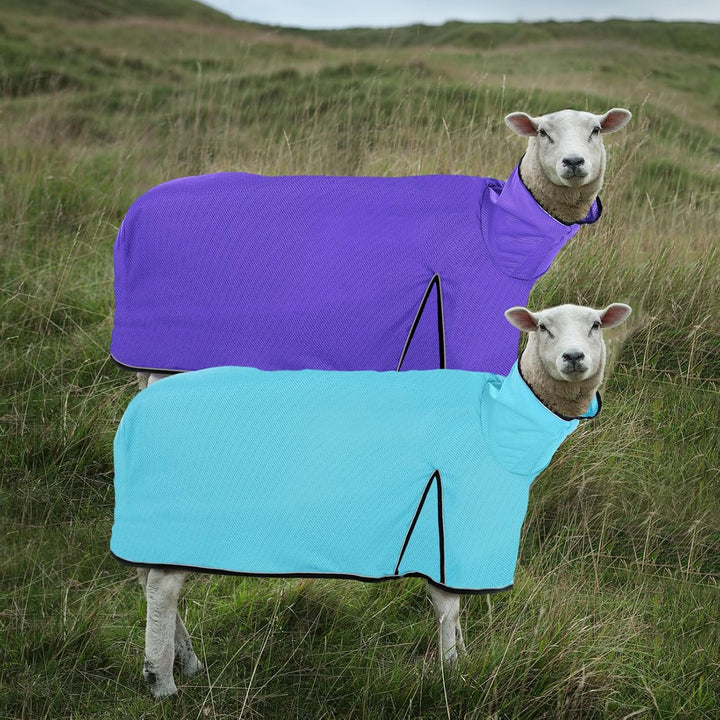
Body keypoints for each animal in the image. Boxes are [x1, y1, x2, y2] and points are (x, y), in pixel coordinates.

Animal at [111, 302, 632, 698]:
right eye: (544, 327)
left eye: (595, 325)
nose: (573, 358)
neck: (496, 419)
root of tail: (139, 408)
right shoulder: (443, 506)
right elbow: (447, 601)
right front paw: (451, 669)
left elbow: (456, 598)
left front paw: (462, 653)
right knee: (163, 587)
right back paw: (162, 682)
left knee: (149, 578)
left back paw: (186, 662)